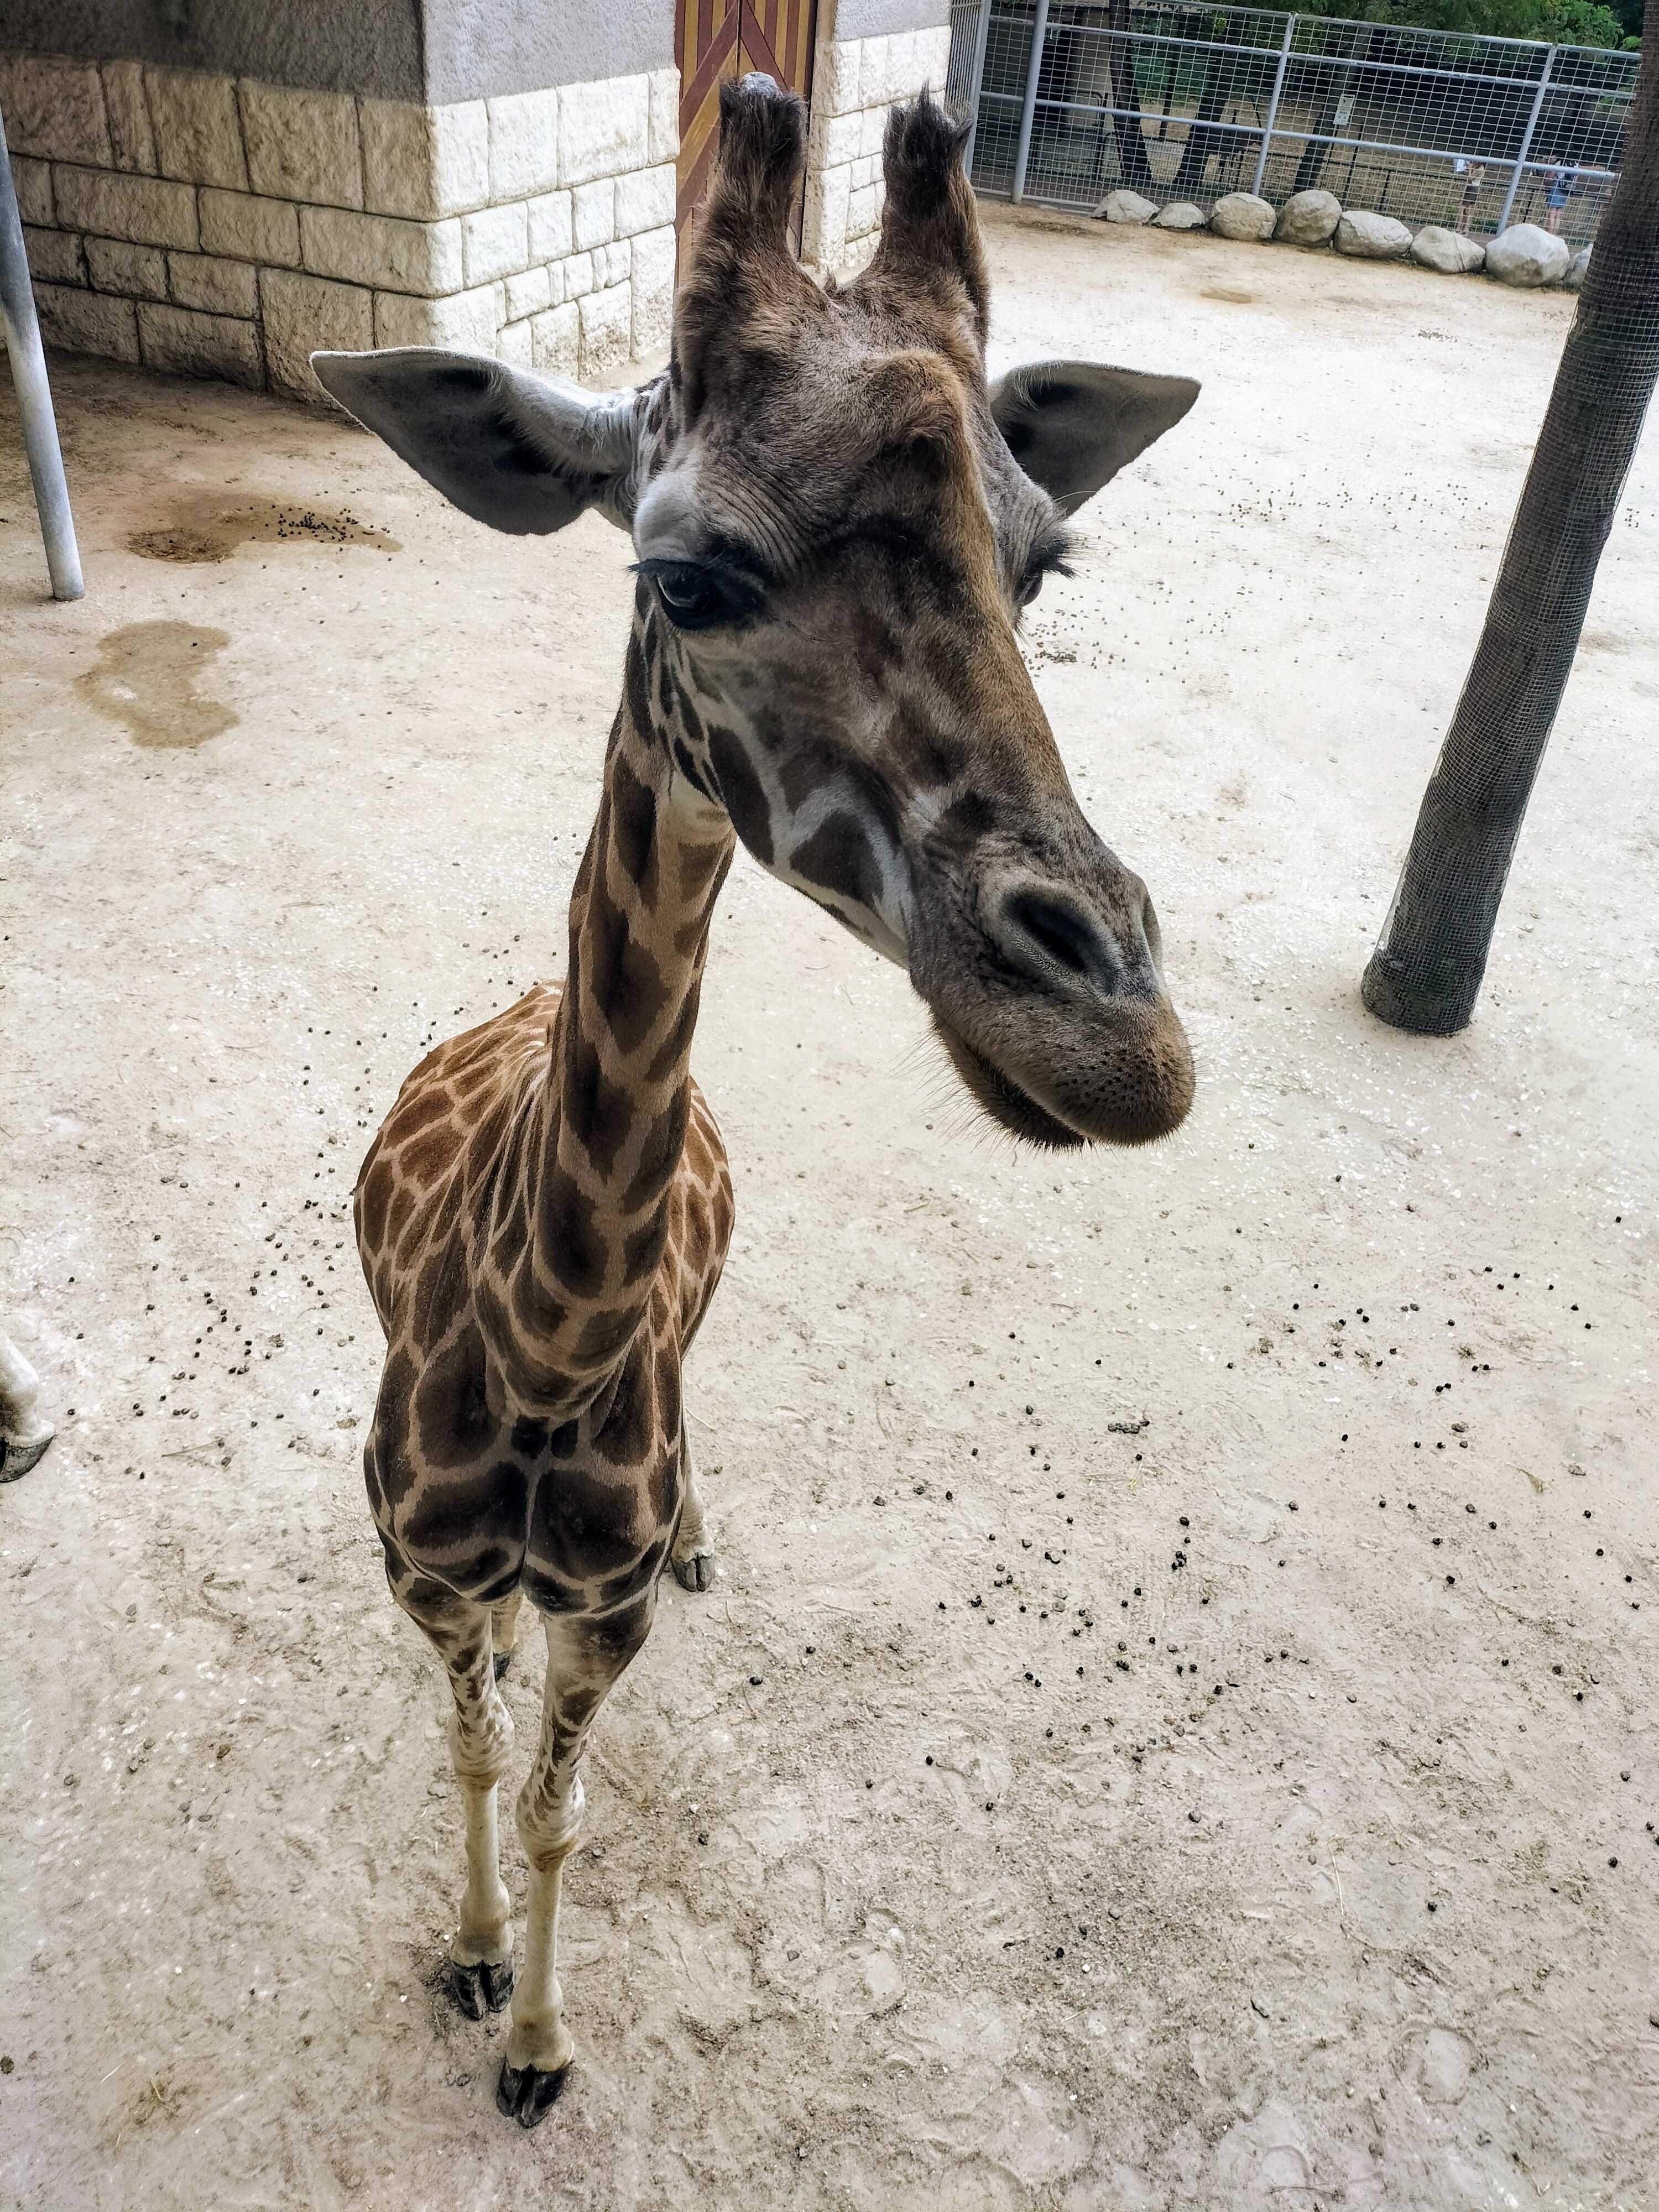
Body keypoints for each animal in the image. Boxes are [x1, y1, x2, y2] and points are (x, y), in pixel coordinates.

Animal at [312, 78, 1198, 2128]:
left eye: (1041, 565)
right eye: (683, 573)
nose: (1125, 1042)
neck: (548, 1347)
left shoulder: (607, 1610)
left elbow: (561, 1808)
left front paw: (541, 2043)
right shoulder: (425, 1576)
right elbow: (477, 1767)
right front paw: (474, 1965)